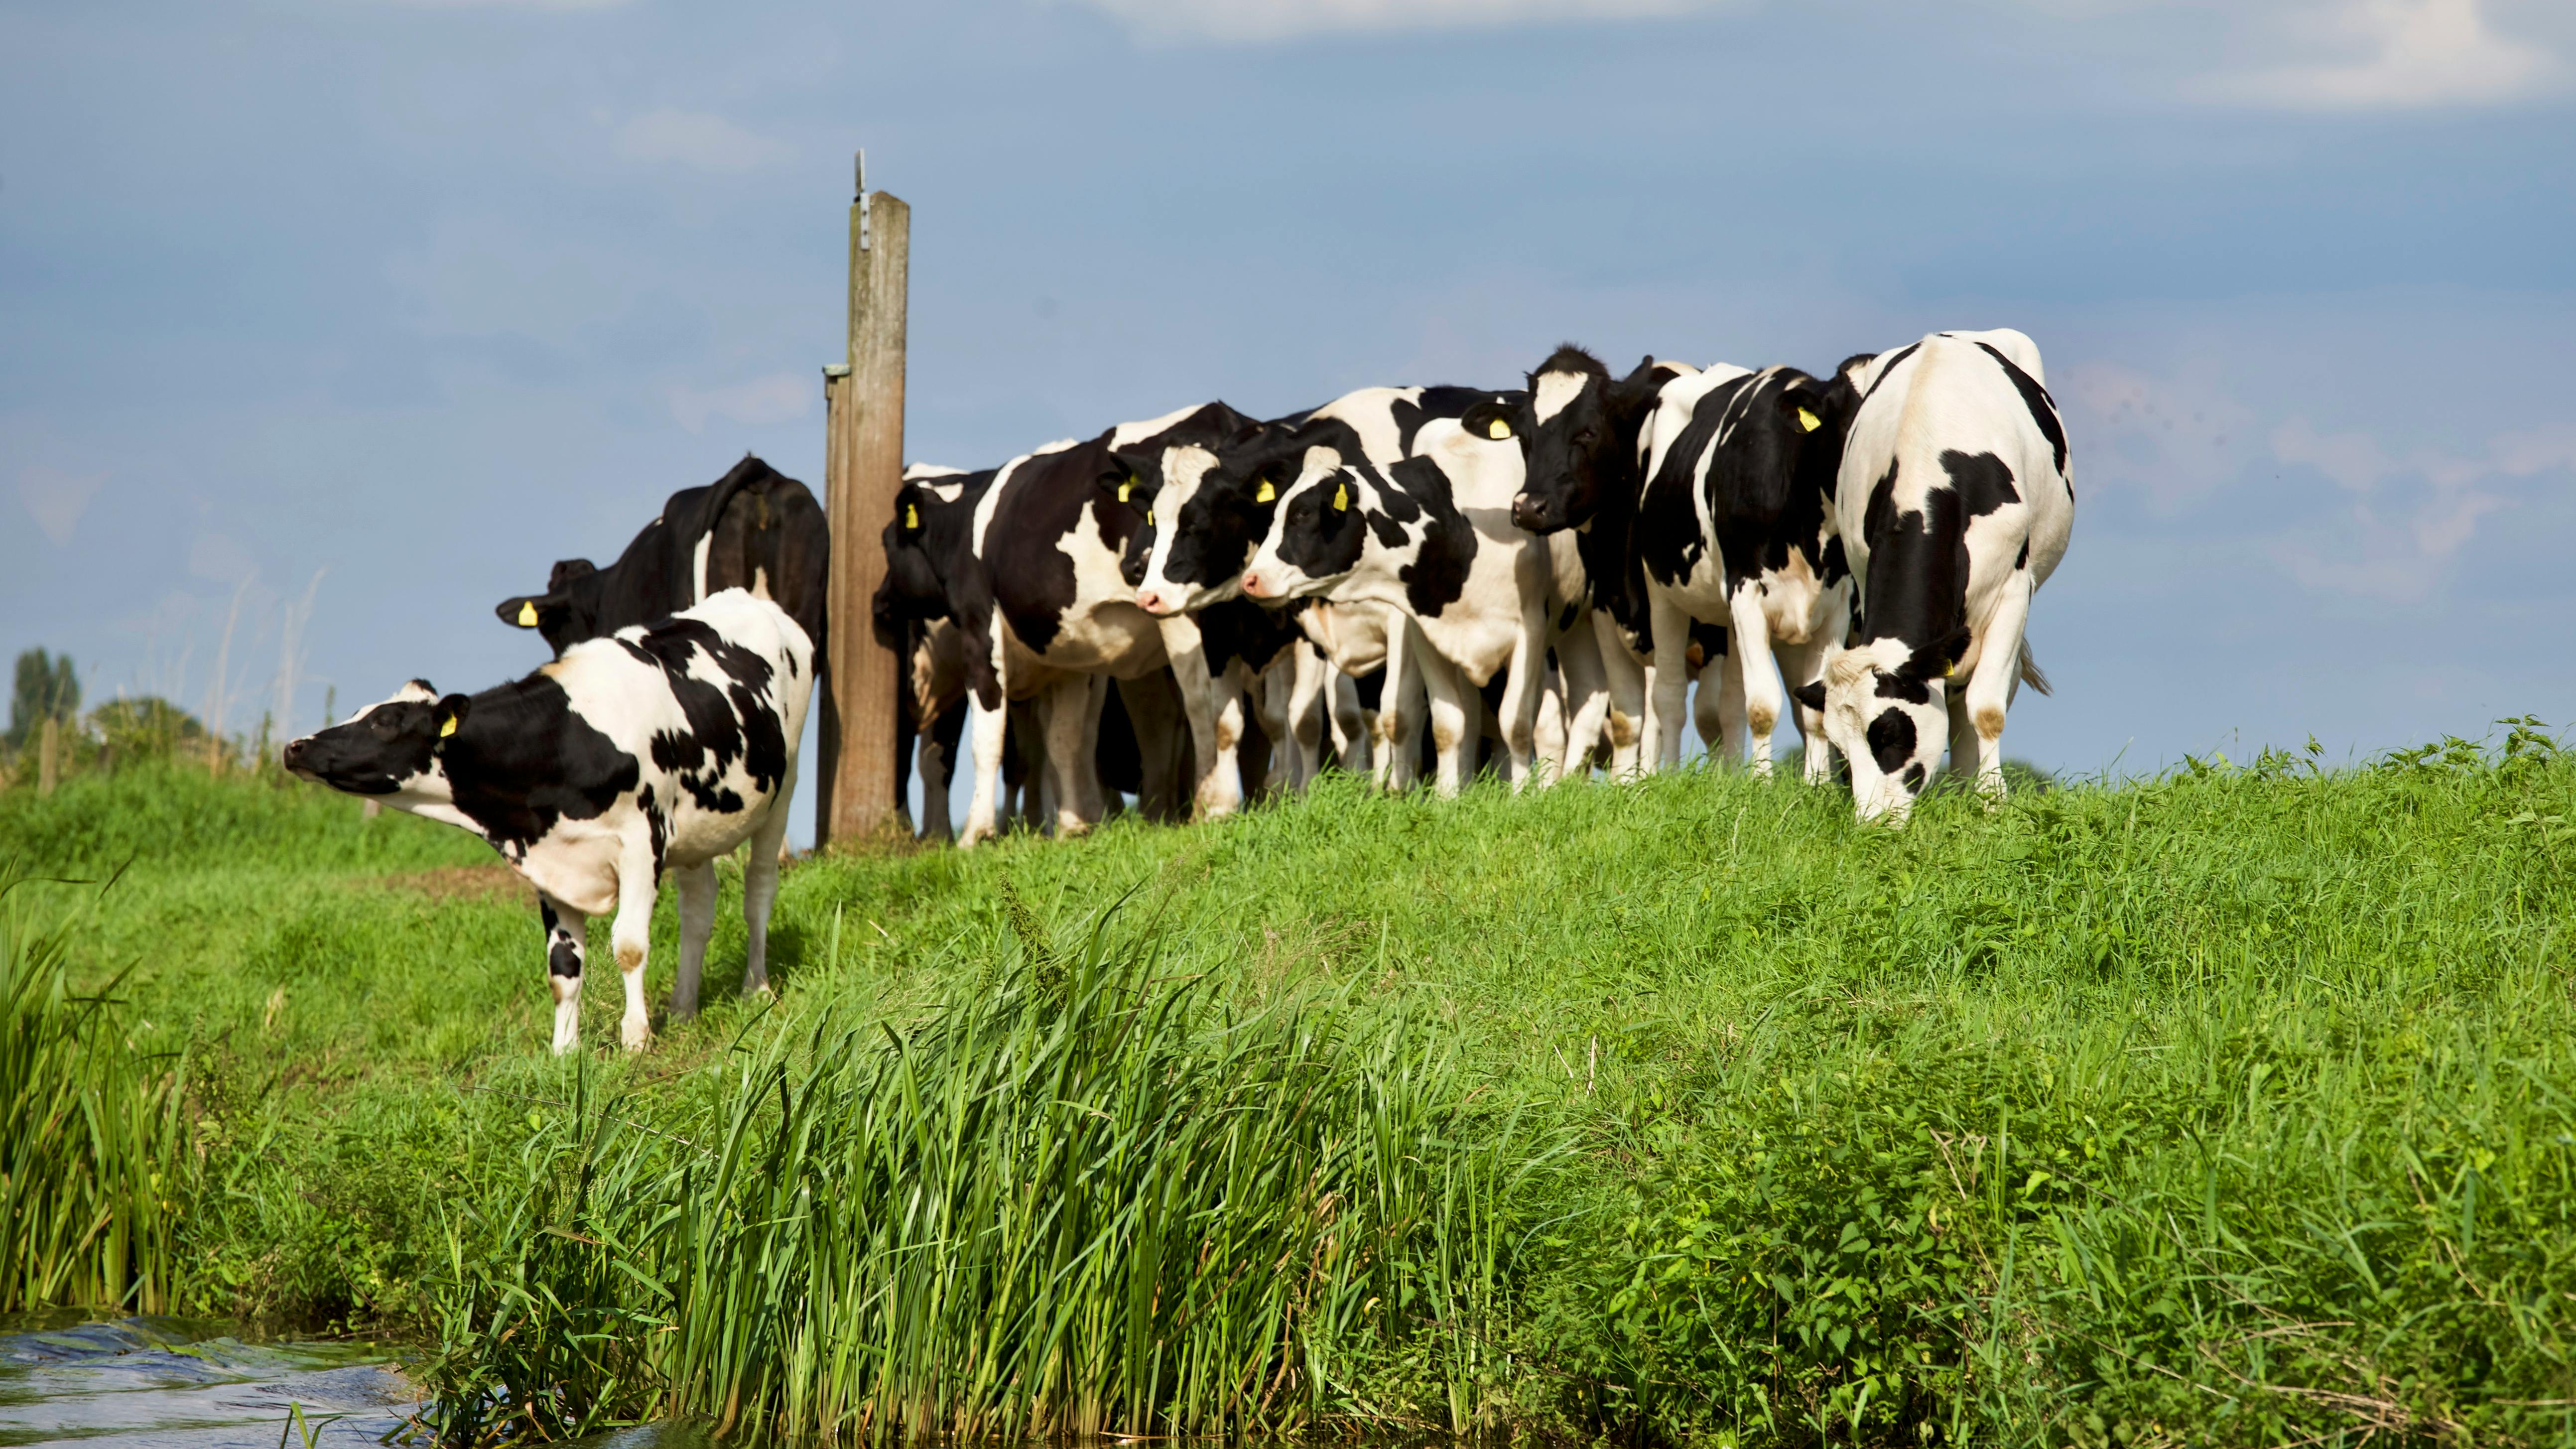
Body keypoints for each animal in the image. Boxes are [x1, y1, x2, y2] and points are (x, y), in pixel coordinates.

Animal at [280, 588, 809, 1047]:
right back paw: (682, 1007)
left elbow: (630, 946)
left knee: (759, 890)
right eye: (359, 710)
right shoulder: (552, 859)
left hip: (783, 790)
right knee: (699, 909)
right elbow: (563, 965)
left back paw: (756, 989)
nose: (295, 747)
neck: (567, 740)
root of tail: (748, 598)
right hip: (698, 830)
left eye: (384, 722)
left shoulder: (643, 842)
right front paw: (564, 1051)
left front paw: (635, 1039)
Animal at [1793, 330, 2071, 825]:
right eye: (1843, 746)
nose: (1872, 823)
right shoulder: (1863, 573)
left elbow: (1987, 708)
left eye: (1889, 733)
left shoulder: (2014, 591)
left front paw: (1992, 803)